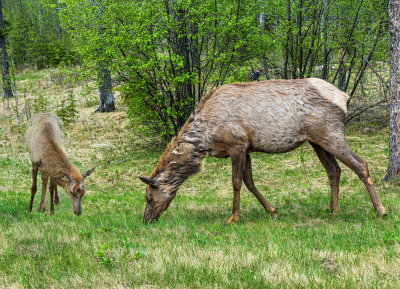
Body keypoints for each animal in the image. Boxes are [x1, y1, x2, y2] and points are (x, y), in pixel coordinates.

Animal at [139, 78, 386, 223]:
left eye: (148, 197)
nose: (146, 219)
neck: (204, 141)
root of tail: (344, 97)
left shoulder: (236, 144)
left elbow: (236, 182)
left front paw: (233, 217)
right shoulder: (247, 148)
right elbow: (249, 181)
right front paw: (273, 210)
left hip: (330, 133)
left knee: (360, 164)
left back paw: (380, 210)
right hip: (316, 140)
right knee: (334, 171)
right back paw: (333, 211)